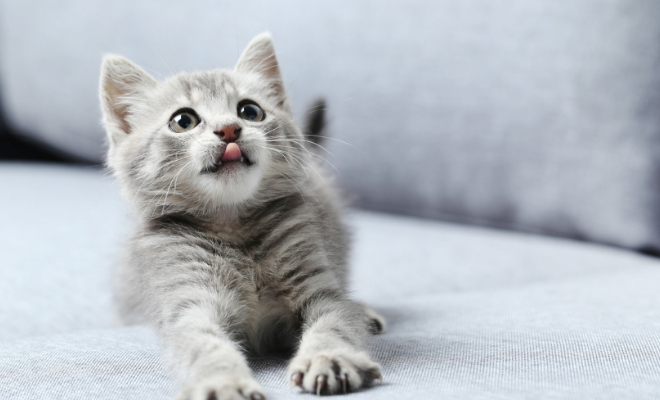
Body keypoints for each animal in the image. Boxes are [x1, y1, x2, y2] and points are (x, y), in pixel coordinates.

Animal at [100, 32, 384, 398]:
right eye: (183, 121)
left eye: (250, 111)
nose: (229, 130)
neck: (234, 227)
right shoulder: (189, 303)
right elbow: (203, 344)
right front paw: (222, 381)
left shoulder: (319, 287)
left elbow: (335, 321)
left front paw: (329, 357)